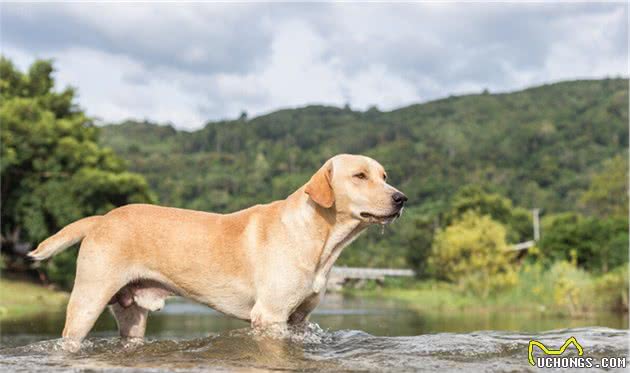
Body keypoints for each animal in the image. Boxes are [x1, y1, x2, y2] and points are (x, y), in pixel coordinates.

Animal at [29, 153, 408, 348]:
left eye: (384, 175)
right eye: (360, 176)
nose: (401, 198)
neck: (320, 236)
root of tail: (101, 218)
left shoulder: (299, 319)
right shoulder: (270, 316)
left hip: (131, 314)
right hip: (87, 301)